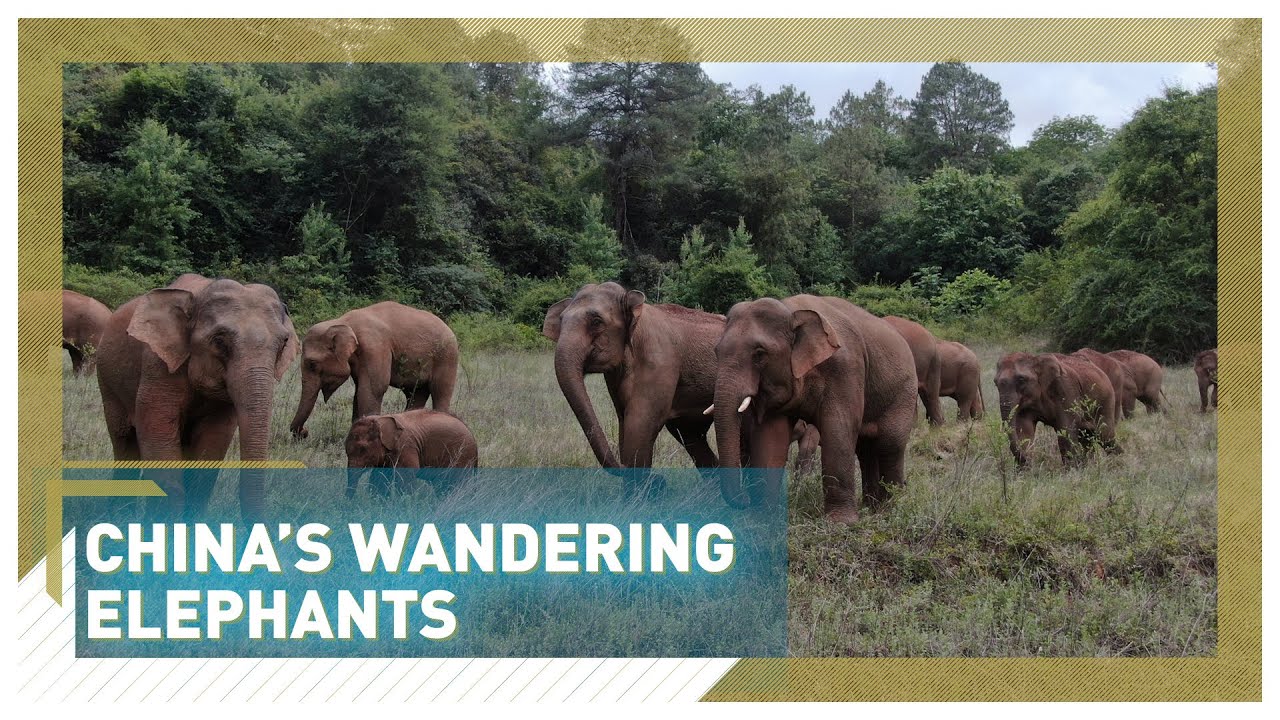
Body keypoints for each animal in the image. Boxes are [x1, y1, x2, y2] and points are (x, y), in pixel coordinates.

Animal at [95, 274, 298, 520]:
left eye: (284, 343)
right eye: (219, 341)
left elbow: (213, 441)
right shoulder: (158, 364)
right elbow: (156, 430)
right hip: (107, 382)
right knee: (124, 441)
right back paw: (119, 517)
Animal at [290, 301, 459, 439]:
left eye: (312, 364)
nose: (305, 432)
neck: (343, 321)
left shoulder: (375, 348)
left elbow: (372, 389)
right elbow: (359, 391)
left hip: (447, 357)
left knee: (440, 392)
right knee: (415, 394)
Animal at [344, 409, 478, 498]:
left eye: (363, 449)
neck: (381, 419)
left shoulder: (406, 446)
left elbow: (406, 474)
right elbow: (378, 477)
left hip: (462, 454)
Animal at [543, 282, 727, 495]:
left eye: (596, 321)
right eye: (561, 320)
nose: (659, 481)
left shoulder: (659, 362)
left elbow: (639, 424)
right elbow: (625, 422)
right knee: (690, 433)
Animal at [711, 295, 918, 523]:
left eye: (759, 353)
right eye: (716, 352)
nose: (745, 499)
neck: (791, 311)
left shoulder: (846, 369)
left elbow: (838, 429)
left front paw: (841, 523)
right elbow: (771, 437)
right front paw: (763, 518)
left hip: (904, 392)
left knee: (890, 444)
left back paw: (889, 510)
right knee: (866, 449)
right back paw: (872, 508)